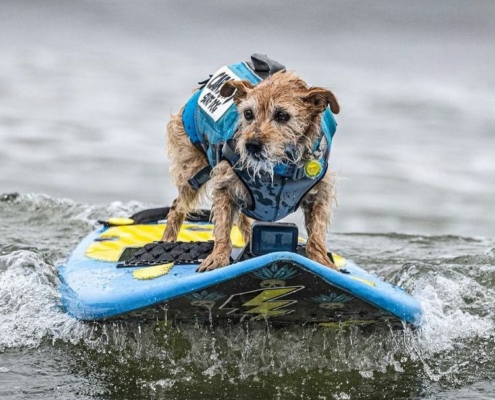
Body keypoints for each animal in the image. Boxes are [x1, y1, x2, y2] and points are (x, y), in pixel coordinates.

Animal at [163, 54, 340, 272]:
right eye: (248, 114)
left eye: (282, 115)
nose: (251, 145)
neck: (279, 170)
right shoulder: (225, 185)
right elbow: (222, 228)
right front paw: (218, 257)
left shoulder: (319, 194)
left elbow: (317, 233)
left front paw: (322, 261)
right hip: (192, 171)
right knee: (177, 207)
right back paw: (167, 242)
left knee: (244, 221)